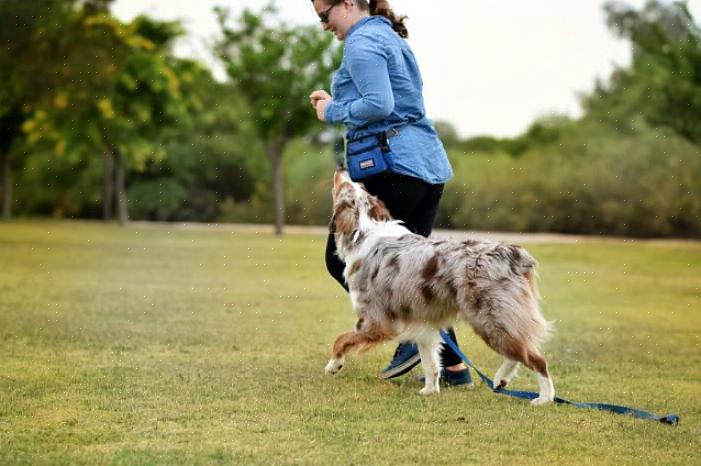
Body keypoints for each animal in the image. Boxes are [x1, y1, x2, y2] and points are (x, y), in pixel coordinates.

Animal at [326, 169, 556, 406]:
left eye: (345, 186)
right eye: (358, 185)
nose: (341, 169)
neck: (364, 229)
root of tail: (512, 253)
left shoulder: (376, 321)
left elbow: (341, 339)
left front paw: (334, 365)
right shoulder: (423, 321)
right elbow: (430, 363)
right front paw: (429, 391)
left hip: (489, 318)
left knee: (537, 359)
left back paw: (544, 398)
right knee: (519, 351)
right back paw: (501, 379)